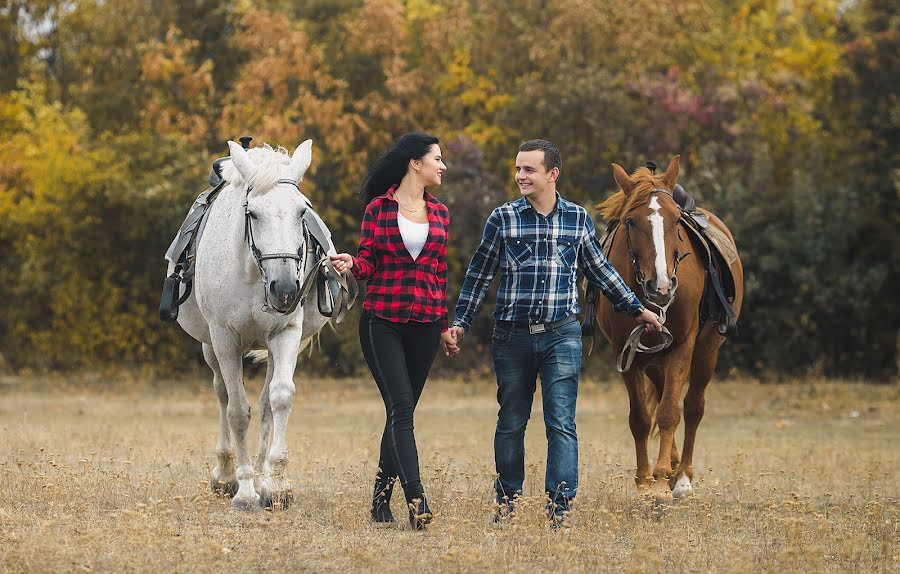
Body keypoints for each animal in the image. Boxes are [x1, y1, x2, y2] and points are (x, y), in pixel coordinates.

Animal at [169, 142, 338, 510]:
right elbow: (236, 411)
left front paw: (276, 485)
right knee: (222, 394)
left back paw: (263, 476)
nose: (285, 289)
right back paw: (225, 475)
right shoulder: (225, 340)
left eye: (302, 213)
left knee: (266, 403)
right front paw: (245, 490)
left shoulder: (285, 334)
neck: (251, 272)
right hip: (210, 347)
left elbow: (280, 398)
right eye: (253, 214)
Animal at [596, 155, 744, 502]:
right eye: (631, 222)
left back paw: (683, 475)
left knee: (691, 407)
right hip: (653, 361)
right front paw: (644, 481)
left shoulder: (683, 346)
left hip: (706, 352)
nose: (661, 286)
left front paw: (664, 480)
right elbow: (640, 418)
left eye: (676, 221)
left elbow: (669, 413)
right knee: (666, 395)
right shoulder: (626, 352)